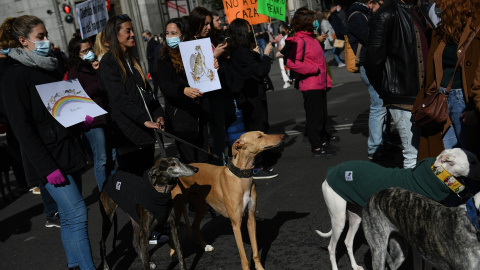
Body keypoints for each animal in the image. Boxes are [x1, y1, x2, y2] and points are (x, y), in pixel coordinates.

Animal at [316, 149, 480, 268]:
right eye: (472, 161)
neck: (437, 176)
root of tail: (330, 171)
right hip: (339, 218)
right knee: (332, 247)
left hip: (356, 216)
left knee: (348, 241)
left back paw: (355, 266)